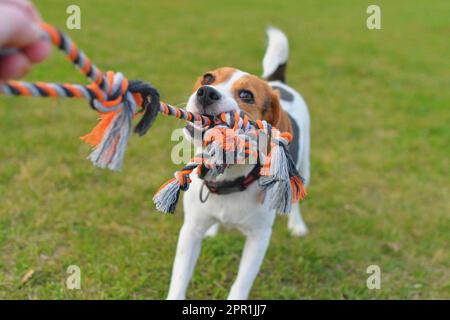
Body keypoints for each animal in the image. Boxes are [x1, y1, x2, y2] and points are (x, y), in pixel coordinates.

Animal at [167, 27, 312, 300]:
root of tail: (279, 83)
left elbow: (240, 285)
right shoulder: (190, 231)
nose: (206, 92)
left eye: (246, 95)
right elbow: (179, 281)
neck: (229, 177)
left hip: (304, 163)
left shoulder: (259, 239)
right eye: (208, 78)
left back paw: (297, 225)